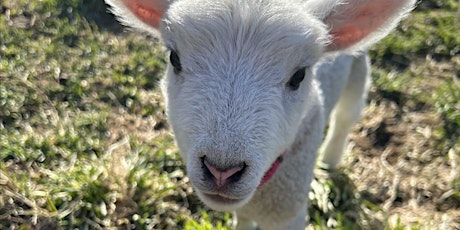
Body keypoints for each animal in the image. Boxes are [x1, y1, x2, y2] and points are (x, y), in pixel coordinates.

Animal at [106, 0, 416, 228]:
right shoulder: (245, 209)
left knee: (347, 116)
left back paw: (330, 160)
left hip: (358, 66)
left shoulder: (289, 215)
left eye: (299, 76)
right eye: (174, 59)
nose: (222, 170)